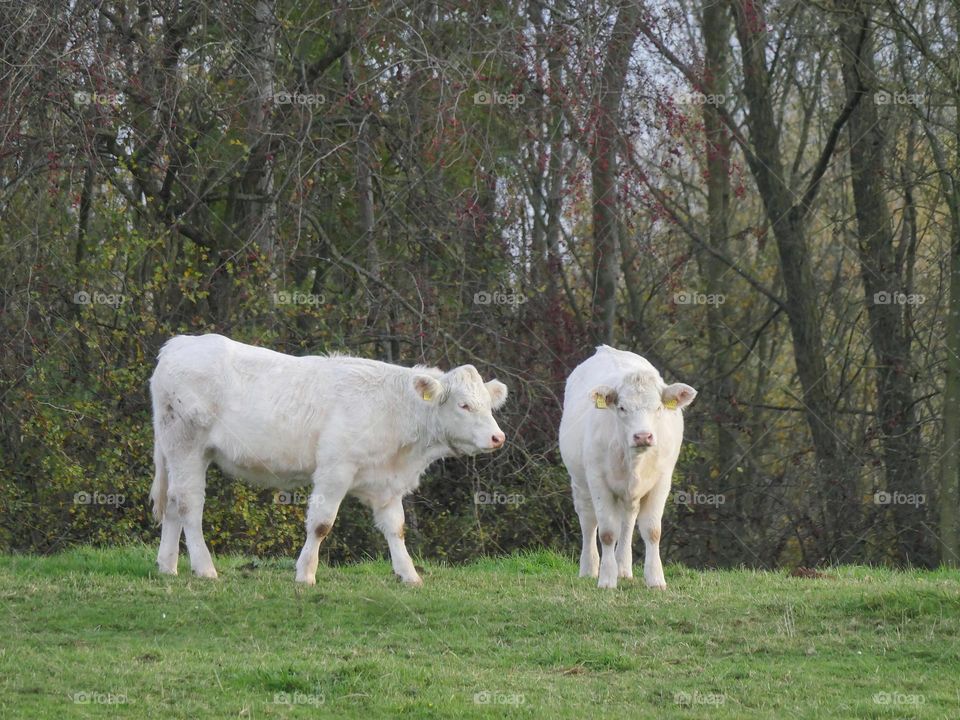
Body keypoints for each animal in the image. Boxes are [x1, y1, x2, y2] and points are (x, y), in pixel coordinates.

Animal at [149, 334, 508, 585]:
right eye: (463, 405)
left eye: (488, 405)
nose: (498, 437)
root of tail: (178, 344)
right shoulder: (335, 469)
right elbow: (322, 524)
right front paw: (306, 573)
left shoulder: (387, 482)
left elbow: (396, 528)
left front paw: (409, 575)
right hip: (186, 445)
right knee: (189, 504)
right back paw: (204, 568)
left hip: (177, 450)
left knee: (173, 502)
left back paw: (168, 566)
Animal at [558, 346, 696, 589]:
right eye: (622, 407)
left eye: (658, 407)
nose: (643, 436)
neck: (634, 459)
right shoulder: (598, 481)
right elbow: (606, 532)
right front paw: (606, 579)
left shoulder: (662, 481)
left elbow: (652, 531)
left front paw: (655, 579)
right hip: (580, 481)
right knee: (588, 520)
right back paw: (589, 568)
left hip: (629, 495)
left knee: (628, 522)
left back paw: (623, 568)